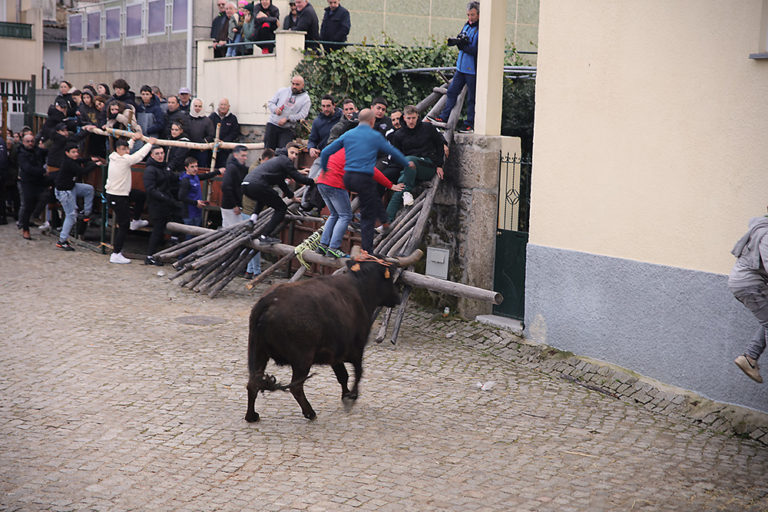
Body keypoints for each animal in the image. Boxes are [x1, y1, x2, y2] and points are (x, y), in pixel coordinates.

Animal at [244, 254, 416, 422]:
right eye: (390, 277)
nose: (398, 298)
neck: (359, 288)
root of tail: (270, 300)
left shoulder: (335, 353)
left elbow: (343, 376)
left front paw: (345, 395)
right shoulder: (357, 348)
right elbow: (358, 372)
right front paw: (352, 397)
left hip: (258, 353)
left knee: (253, 383)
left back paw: (251, 416)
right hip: (302, 358)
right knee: (295, 387)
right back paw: (310, 413)